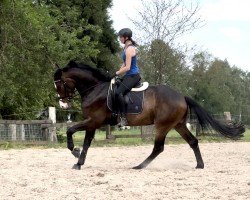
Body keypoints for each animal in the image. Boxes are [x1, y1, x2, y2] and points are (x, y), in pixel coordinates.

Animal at [53, 60, 245, 170]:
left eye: (59, 83)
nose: (63, 104)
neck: (95, 89)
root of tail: (181, 96)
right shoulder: (92, 122)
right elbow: (86, 142)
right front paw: (78, 160)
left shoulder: (94, 120)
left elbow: (70, 131)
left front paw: (75, 153)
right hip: (178, 124)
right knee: (193, 141)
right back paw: (199, 165)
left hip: (163, 125)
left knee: (158, 148)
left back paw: (139, 166)